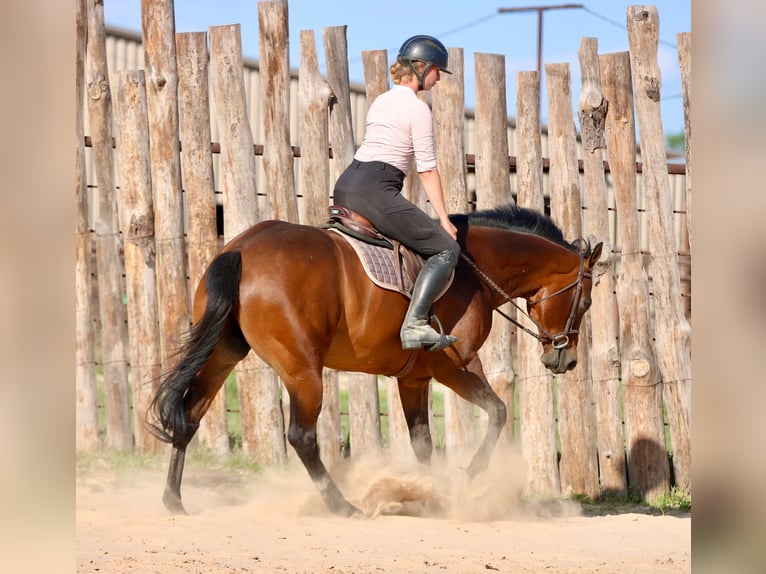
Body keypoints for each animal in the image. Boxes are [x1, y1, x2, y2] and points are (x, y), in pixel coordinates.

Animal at [147, 203, 602, 516]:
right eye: (586, 303)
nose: (565, 360)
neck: (472, 271)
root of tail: (243, 246)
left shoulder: (413, 379)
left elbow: (423, 443)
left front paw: (430, 492)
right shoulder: (455, 368)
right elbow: (499, 412)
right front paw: (466, 477)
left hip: (223, 352)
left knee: (189, 416)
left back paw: (173, 499)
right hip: (303, 371)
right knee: (301, 437)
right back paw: (341, 506)